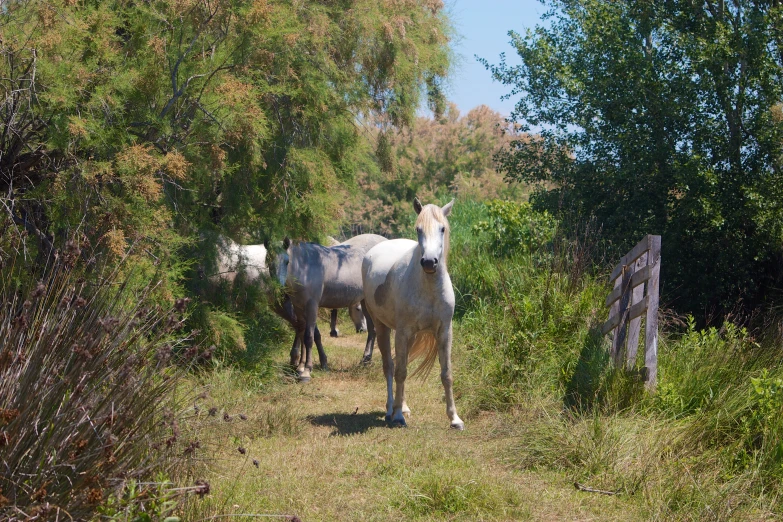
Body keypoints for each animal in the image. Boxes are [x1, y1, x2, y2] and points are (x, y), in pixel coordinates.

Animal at [272, 234, 388, 380]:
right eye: (268, 260)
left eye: (287, 261)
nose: (277, 286)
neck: (305, 266)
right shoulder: (300, 306)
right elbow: (309, 333)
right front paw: (309, 364)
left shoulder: (311, 305)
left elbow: (308, 336)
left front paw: (306, 369)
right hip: (364, 301)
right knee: (373, 330)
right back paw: (365, 360)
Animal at [362, 197, 466, 428]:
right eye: (419, 229)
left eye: (442, 228)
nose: (429, 262)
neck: (428, 288)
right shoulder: (403, 332)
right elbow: (400, 371)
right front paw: (398, 416)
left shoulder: (445, 332)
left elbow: (446, 374)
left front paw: (454, 418)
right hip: (382, 327)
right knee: (390, 366)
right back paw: (391, 409)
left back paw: (403, 406)